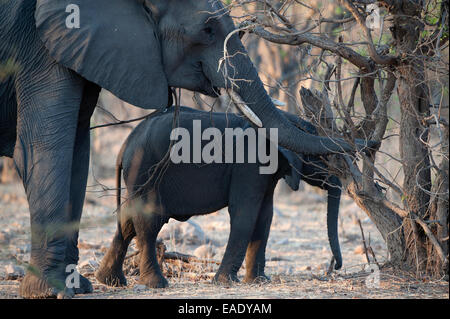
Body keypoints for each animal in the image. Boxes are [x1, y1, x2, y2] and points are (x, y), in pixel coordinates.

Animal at [95, 106, 342, 288]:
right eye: (323, 158)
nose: (335, 267)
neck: (285, 121)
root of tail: (124, 146)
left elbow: (265, 216)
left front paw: (258, 281)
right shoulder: (249, 165)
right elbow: (245, 213)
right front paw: (225, 282)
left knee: (127, 222)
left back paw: (110, 281)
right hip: (146, 170)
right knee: (150, 222)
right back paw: (156, 284)